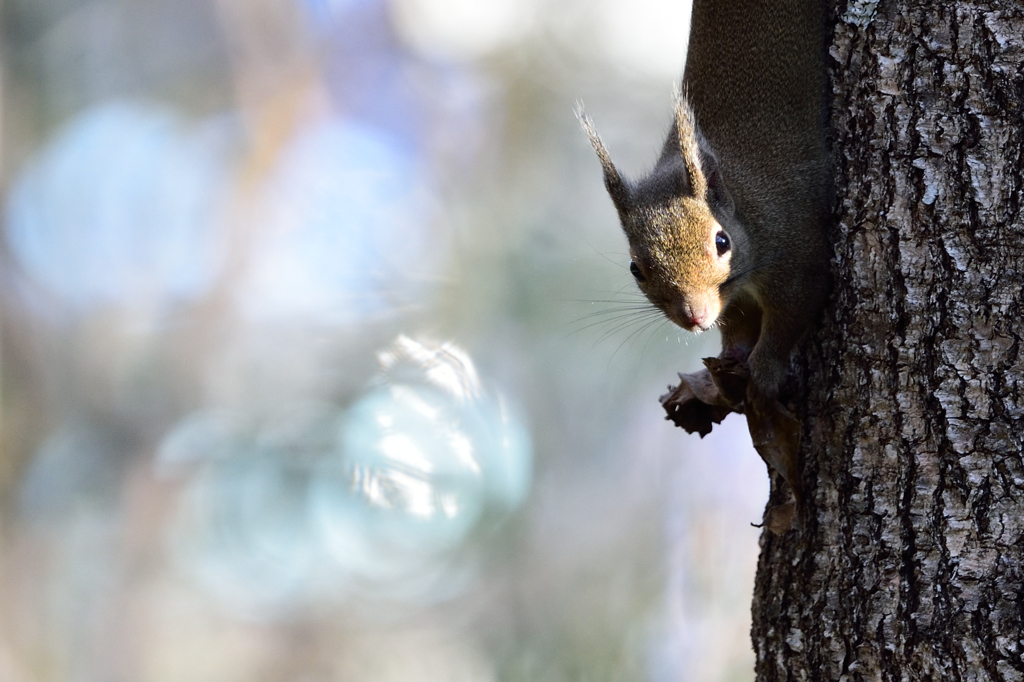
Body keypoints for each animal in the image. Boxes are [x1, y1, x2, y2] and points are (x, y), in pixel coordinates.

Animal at [581, 0, 827, 413]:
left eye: (722, 242)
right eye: (635, 268)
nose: (694, 318)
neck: (745, 205)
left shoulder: (796, 250)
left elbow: (789, 318)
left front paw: (763, 374)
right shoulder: (736, 302)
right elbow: (738, 327)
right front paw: (730, 366)